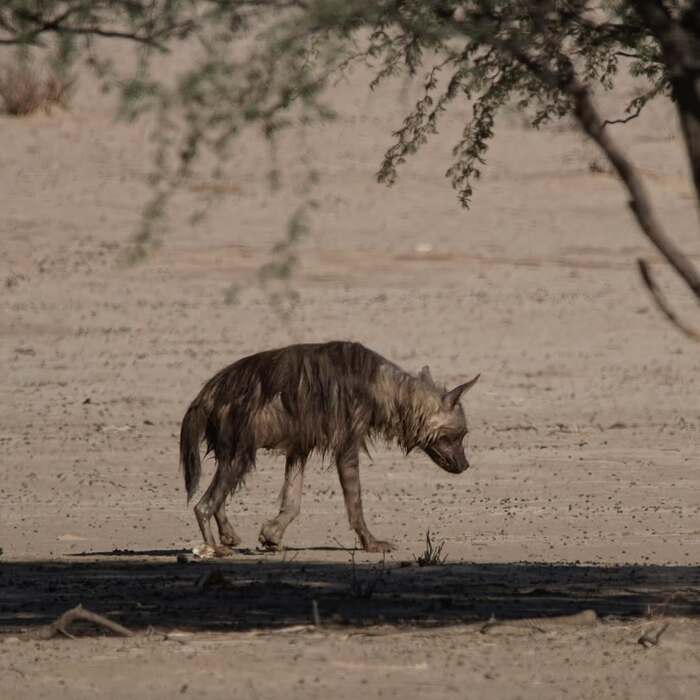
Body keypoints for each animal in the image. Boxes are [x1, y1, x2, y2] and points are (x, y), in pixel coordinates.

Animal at [179, 341, 479, 555]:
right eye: (459, 435)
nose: (466, 466)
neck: (383, 390)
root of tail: (206, 393)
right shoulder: (346, 445)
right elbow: (355, 503)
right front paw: (372, 544)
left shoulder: (299, 447)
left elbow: (293, 500)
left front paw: (271, 536)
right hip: (240, 453)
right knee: (204, 505)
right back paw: (213, 549)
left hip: (233, 453)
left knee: (218, 497)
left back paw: (228, 536)